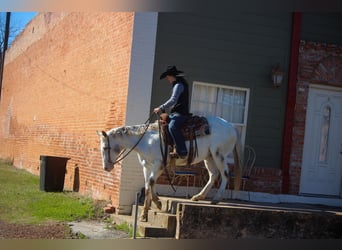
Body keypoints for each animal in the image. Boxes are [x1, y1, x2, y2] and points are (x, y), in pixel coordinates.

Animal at [97, 115, 243, 221]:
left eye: (105, 148)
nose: (106, 167)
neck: (146, 140)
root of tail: (231, 126)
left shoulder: (159, 164)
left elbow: (151, 182)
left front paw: (158, 203)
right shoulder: (146, 166)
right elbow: (147, 185)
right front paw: (144, 214)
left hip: (219, 154)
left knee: (225, 174)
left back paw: (216, 199)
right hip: (209, 157)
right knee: (213, 175)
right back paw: (198, 196)